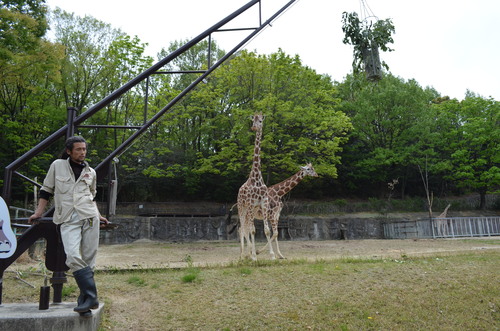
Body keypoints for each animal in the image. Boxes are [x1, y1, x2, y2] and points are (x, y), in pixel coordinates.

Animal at [235, 114, 272, 262]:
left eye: (260, 121)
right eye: (253, 120)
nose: (254, 127)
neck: (256, 178)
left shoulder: (263, 203)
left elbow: (266, 230)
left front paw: (273, 256)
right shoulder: (250, 204)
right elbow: (252, 230)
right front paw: (254, 257)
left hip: (253, 209)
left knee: (244, 227)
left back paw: (246, 254)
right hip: (242, 207)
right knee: (242, 228)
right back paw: (242, 255)